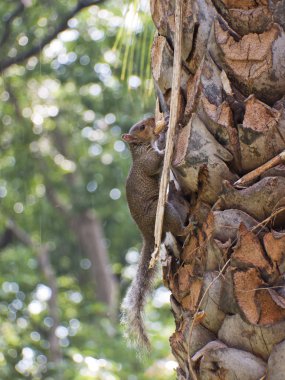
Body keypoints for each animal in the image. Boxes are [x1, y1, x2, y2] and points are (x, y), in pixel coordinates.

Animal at [120, 116, 191, 350]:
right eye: (142, 127)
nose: (153, 119)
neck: (140, 148)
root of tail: (147, 233)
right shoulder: (148, 161)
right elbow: (158, 161)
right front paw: (168, 136)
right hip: (164, 212)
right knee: (176, 227)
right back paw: (189, 227)